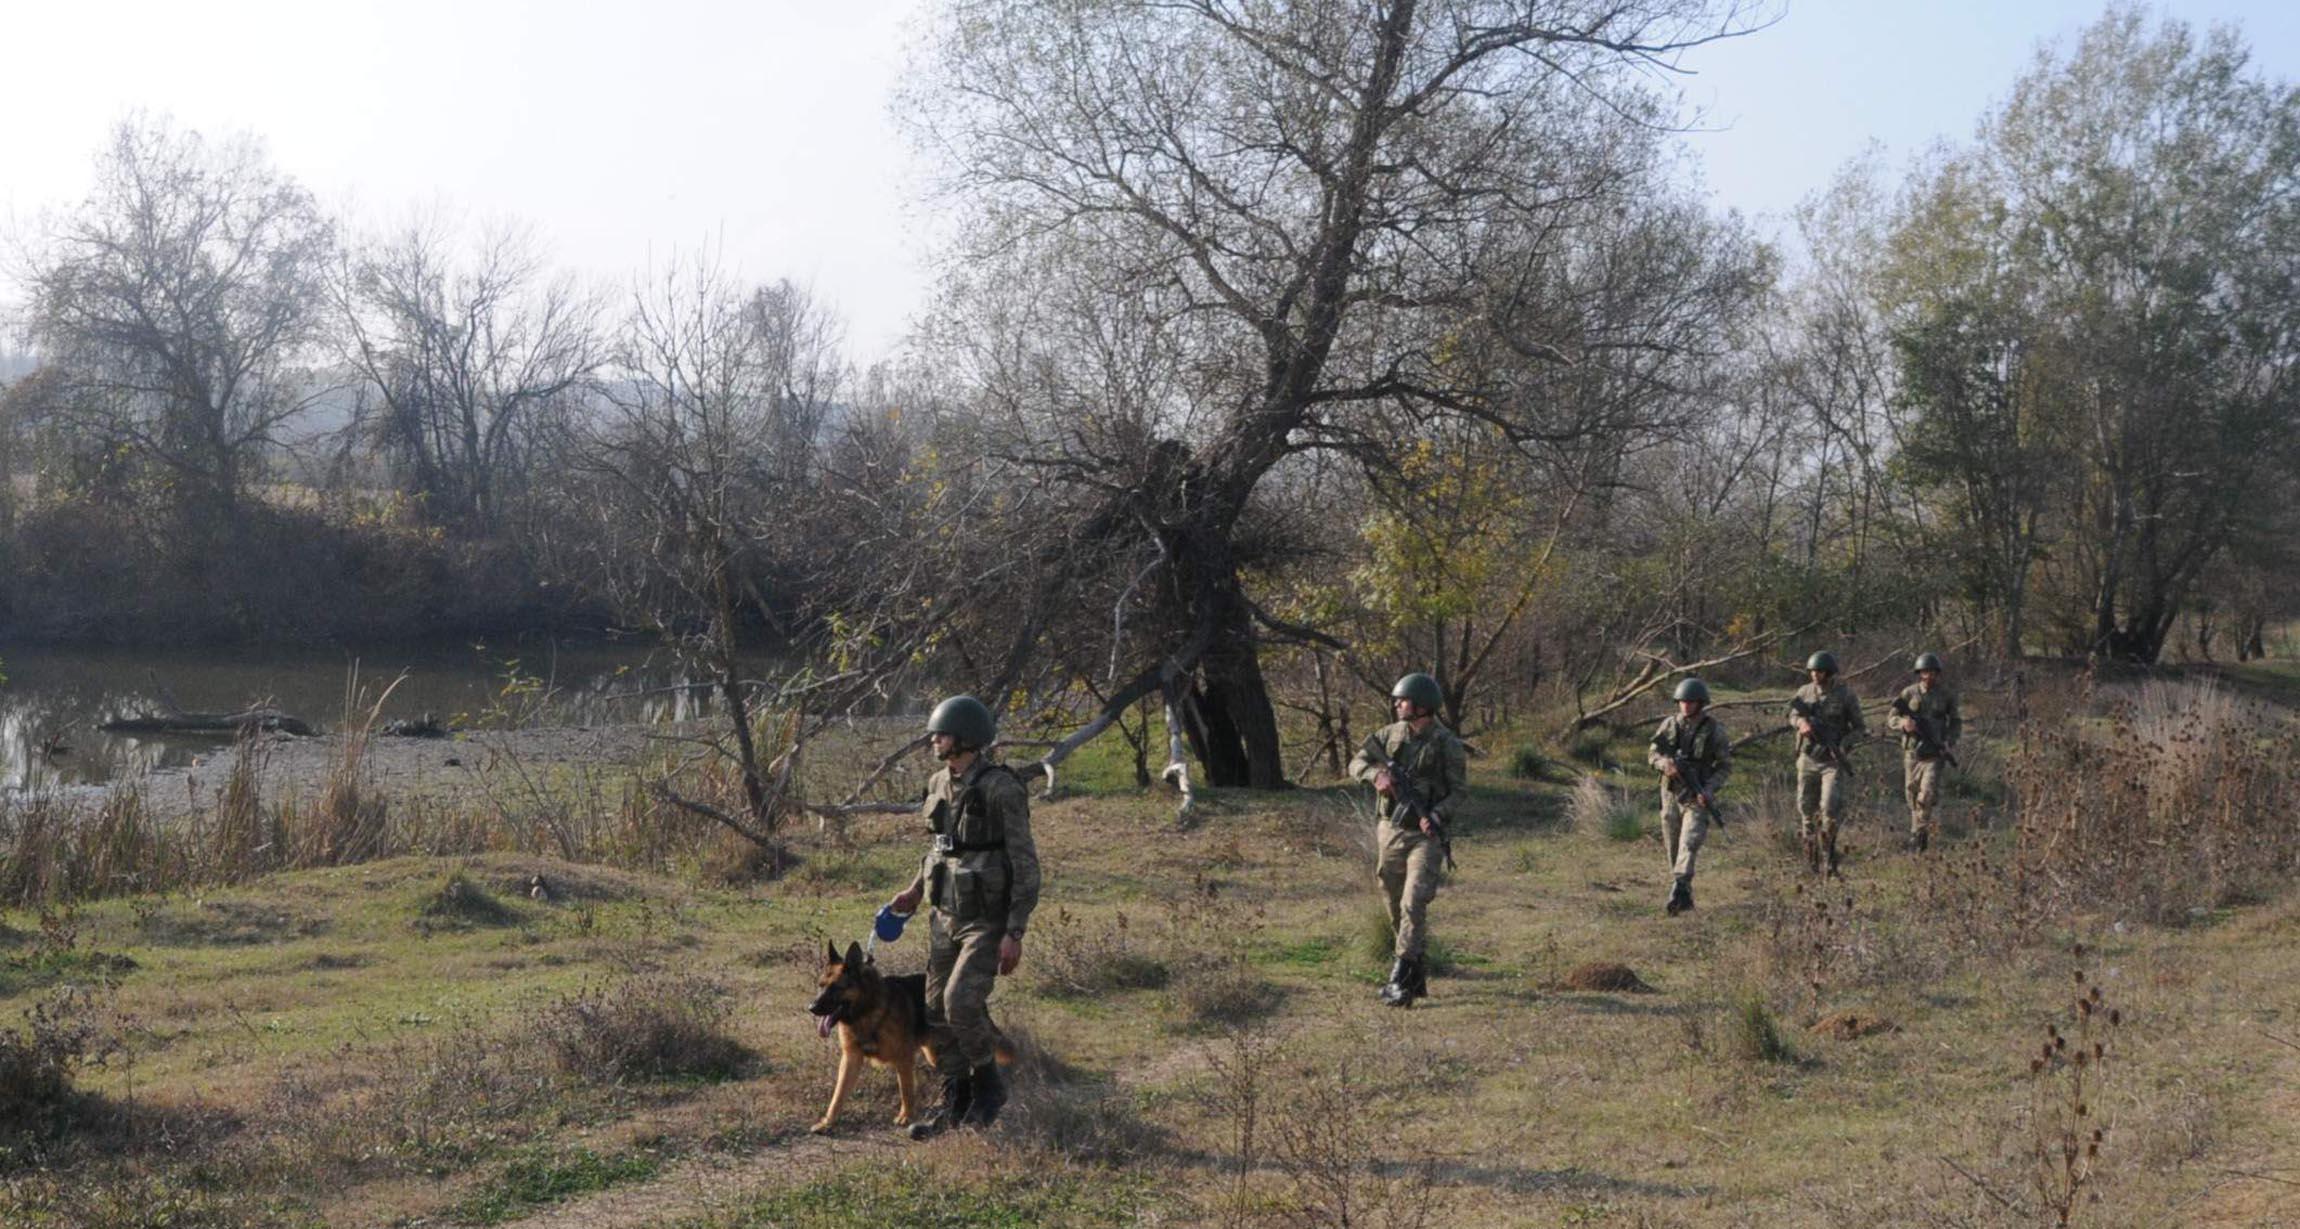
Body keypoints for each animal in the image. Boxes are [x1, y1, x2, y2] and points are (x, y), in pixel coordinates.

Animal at [814, 943, 1021, 1136]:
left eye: (835, 987)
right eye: (821, 985)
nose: (811, 1007)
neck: (866, 1010)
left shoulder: (903, 1059)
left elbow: (906, 1090)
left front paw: (906, 1117)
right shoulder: (851, 1059)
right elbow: (838, 1095)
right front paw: (828, 1123)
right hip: (936, 1054)